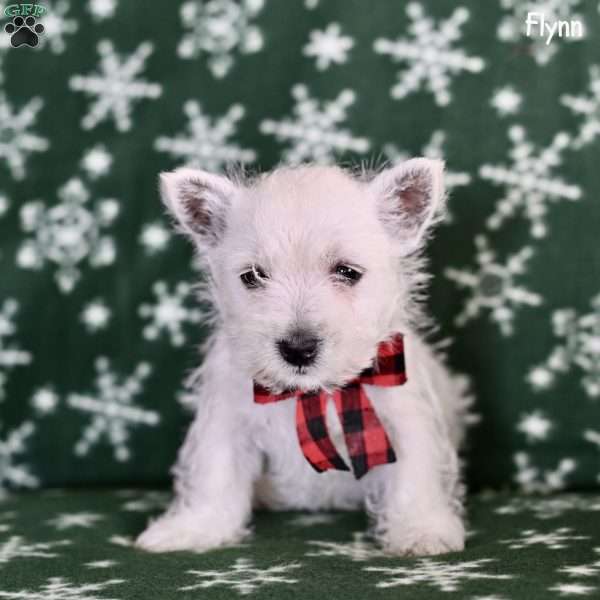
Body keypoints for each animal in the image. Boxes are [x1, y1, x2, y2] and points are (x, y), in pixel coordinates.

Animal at [138, 161, 472, 556]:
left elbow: (415, 476)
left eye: (347, 271)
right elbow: (214, 473)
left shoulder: (405, 416)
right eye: (253, 276)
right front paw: (194, 527)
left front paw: (421, 529)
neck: (311, 394)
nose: (298, 348)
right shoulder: (226, 418)